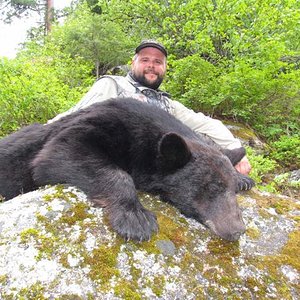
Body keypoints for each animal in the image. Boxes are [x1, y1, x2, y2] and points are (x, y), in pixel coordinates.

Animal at [0, 98, 254, 241]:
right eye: (211, 188)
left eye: (231, 190)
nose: (237, 230)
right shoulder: (97, 125)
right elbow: (59, 152)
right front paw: (136, 218)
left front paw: (243, 177)